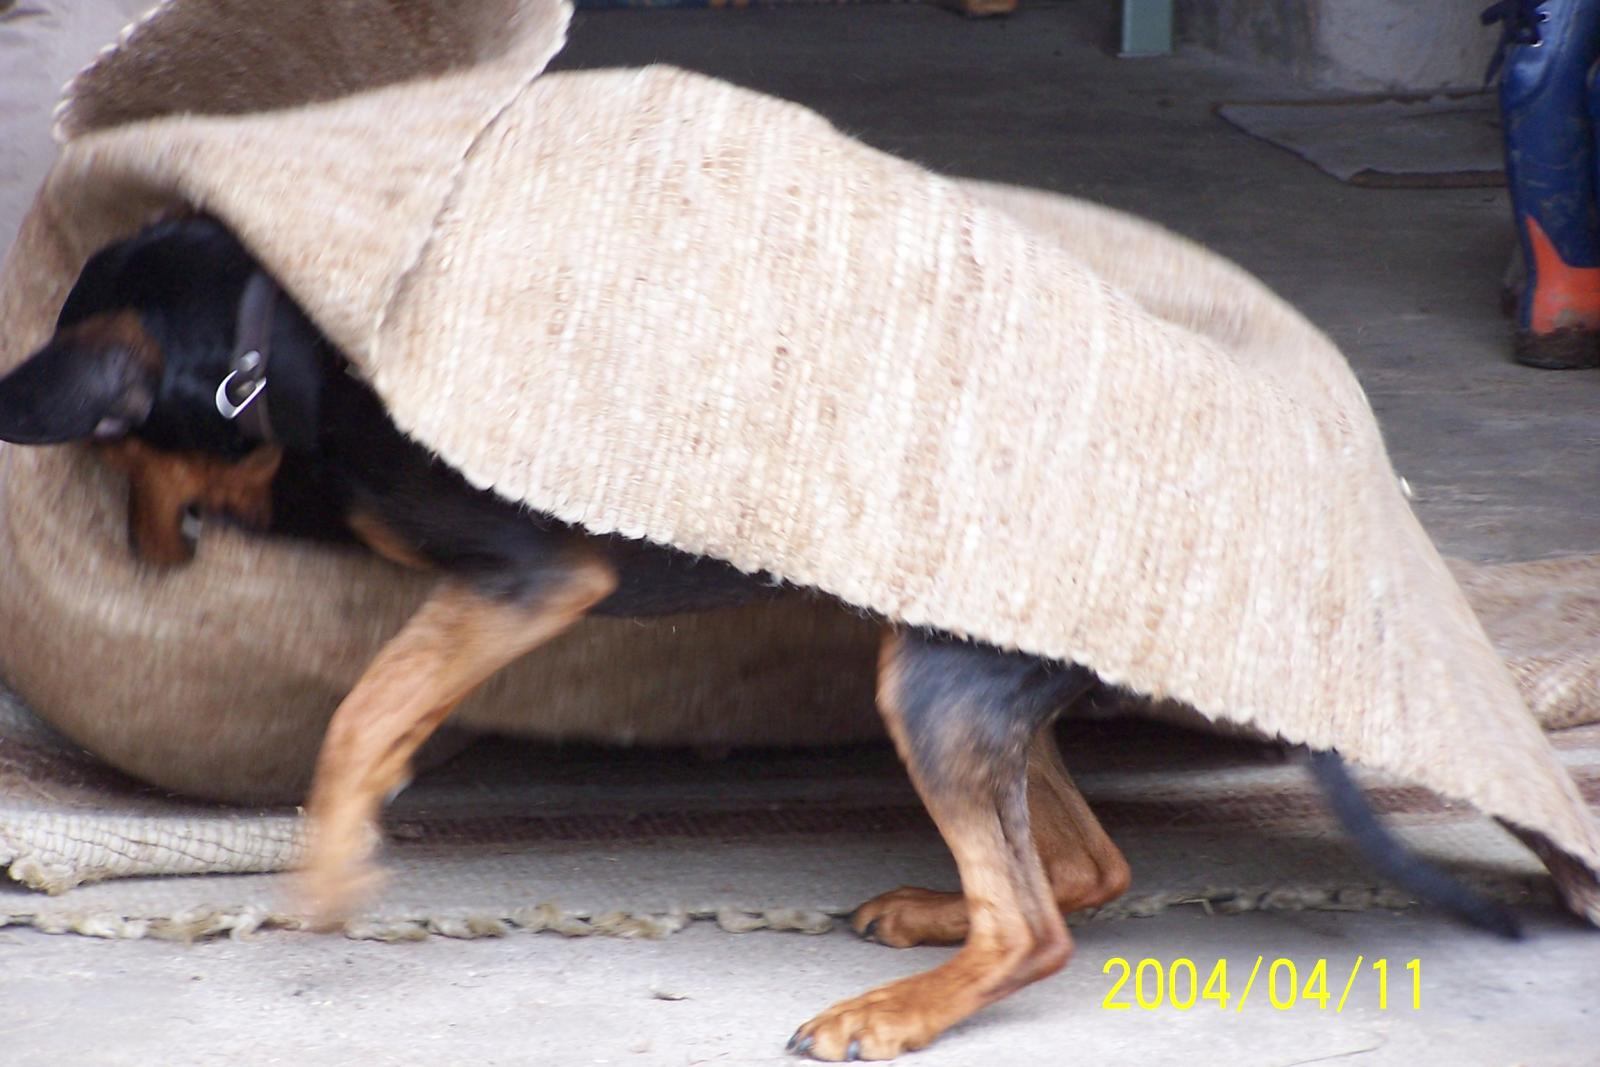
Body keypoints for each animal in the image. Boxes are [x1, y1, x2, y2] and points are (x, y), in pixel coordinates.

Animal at [0, 216, 1515, 1060]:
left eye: (112, 441)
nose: (139, 552)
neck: (282, 341)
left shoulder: (536, 573)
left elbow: (364, 705)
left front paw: (325, 864)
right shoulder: (469, 588)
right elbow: (391, 697)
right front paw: (365, 812)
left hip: (932, 674)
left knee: (1037, 921)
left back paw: (896, 1006)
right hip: (938, 656)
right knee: (1087, 865)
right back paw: (927, 915)